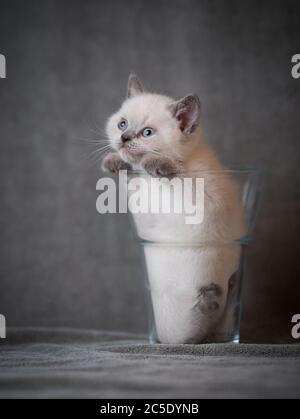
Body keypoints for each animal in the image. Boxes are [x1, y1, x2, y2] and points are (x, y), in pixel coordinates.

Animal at [102, 74, 245, 344]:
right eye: (122, 124)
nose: (124, 138)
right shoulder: (142, 207)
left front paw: (157, 164)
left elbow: (176, 174)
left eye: (147, 133)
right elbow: (133, 174)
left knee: (212, 318)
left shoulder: (204, 198)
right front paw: (115, 161)